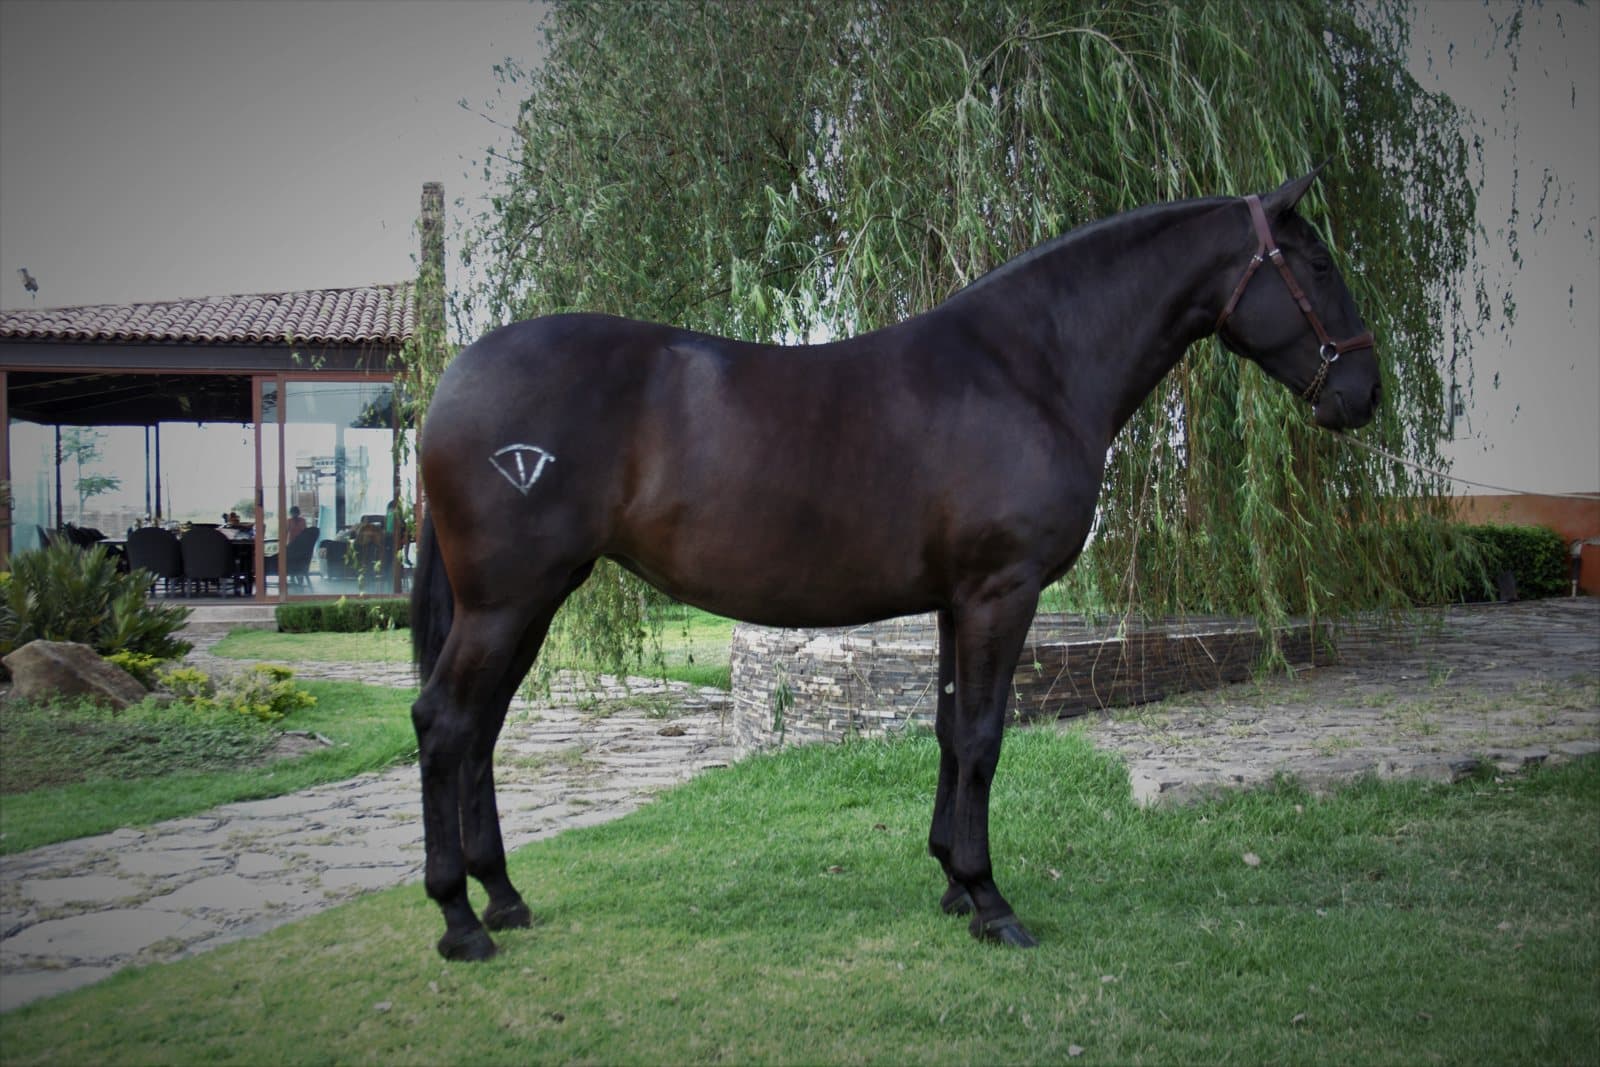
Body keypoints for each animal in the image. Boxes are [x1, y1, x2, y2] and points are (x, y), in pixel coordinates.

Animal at [409, 169, 1380, 960]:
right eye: (1318, 264)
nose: (1363, 394)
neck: (1031, 368)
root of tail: (453, 380)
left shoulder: (958, 600)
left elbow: (951, 730)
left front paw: (951, 881)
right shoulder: (1000, 592)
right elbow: (985, 736)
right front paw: (992, 902)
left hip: (529, 603)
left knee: (482, 729)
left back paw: (504, 898)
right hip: (507, 602)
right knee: (444, 723)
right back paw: (458, 921)